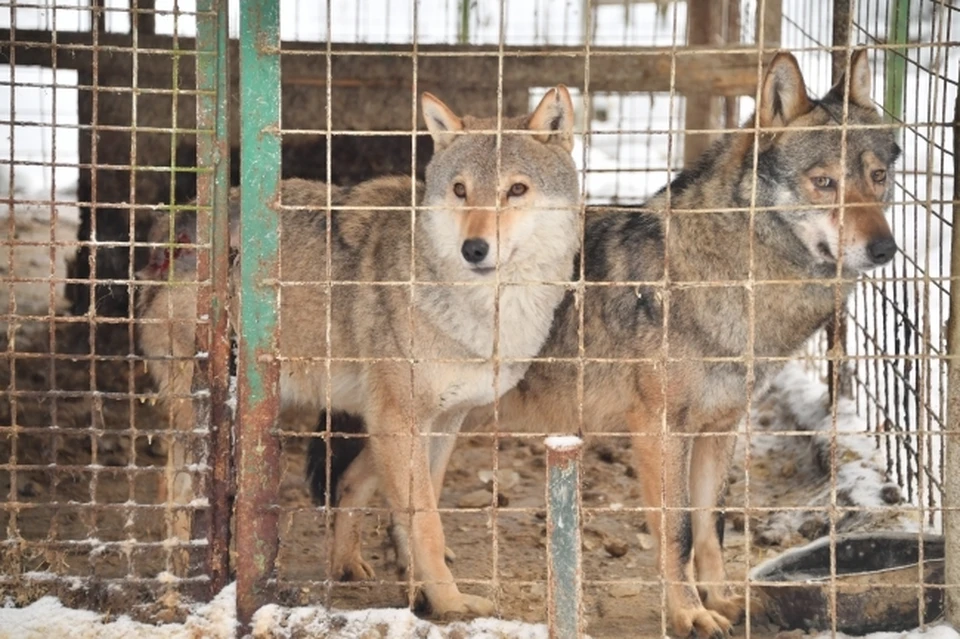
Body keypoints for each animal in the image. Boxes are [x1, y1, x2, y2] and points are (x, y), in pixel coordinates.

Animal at [138, 87, 580, 616]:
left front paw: (418, 591)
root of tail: (181, 218)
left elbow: (415, 508)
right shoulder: (398, 418)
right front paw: (449, 603)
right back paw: (176, 588)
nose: (474, 248)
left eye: (516, 190)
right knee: (173, 488)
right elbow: (425, 523)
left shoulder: (442, 421)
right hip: (209, 412)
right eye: (459, 190)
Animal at [306, 48, 900, 636]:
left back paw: (357, 568)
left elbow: (711, 529)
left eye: (878, 177)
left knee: (356, 483)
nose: (887, 249)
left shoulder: (719, 430)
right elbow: (679, 534)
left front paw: (723, 602)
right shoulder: (659, 431)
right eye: (824, 182)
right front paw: (689, 613)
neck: (727, 277)